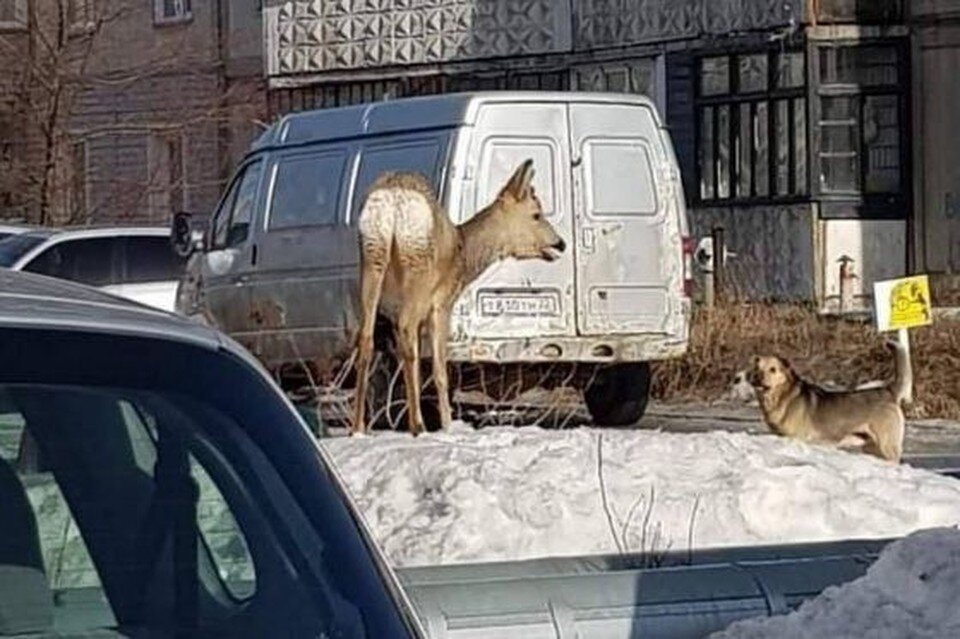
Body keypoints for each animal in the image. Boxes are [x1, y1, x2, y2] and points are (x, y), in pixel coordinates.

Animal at [352, 160, 564, 438]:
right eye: (537, 214)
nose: (560, 243)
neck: (463, 258)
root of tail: (393, 199)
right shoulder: (441, 303)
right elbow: (440, 369)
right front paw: (447, 426)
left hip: (371, 258)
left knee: (365, 339)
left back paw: (358, 428)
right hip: (417, 268)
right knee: (406, 330)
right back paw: (418, 426)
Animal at [748, 342, 912, 462]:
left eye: (773, 369)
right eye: (757, 368)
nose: (756, 378)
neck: (780, 397)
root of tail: (888, 391)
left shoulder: (798, 438)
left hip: (887, 446)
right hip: (871, 447)